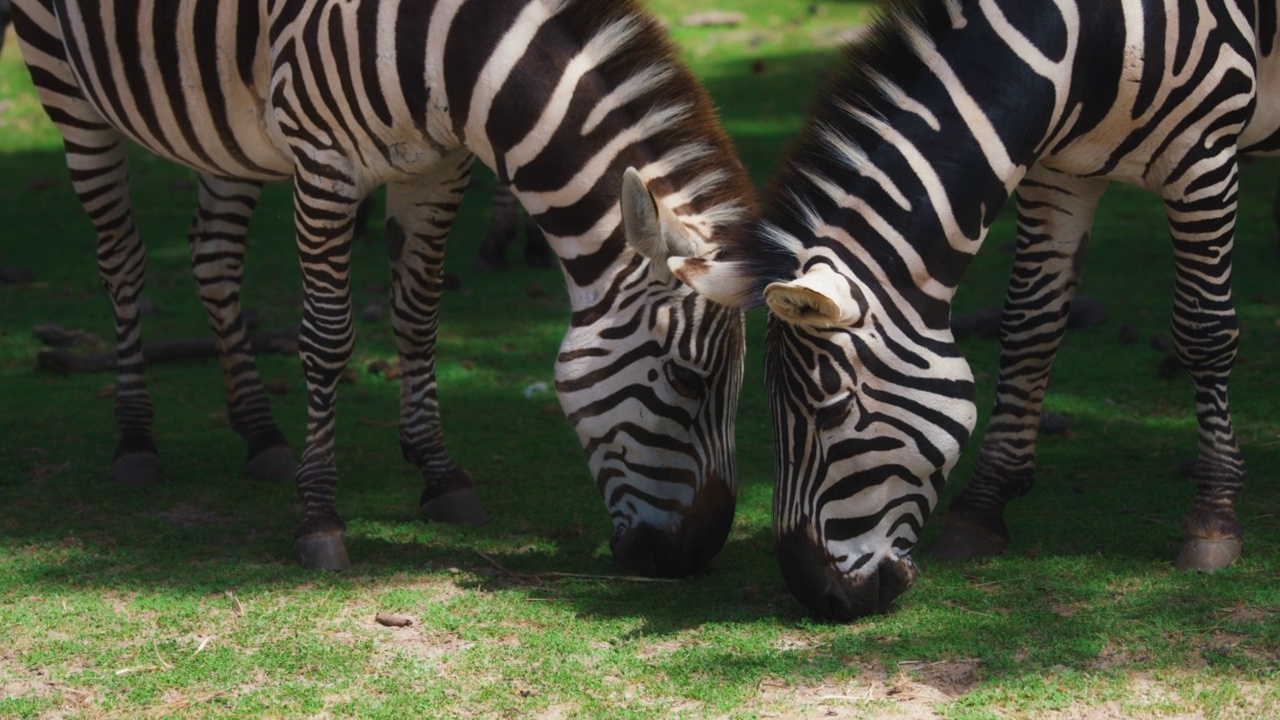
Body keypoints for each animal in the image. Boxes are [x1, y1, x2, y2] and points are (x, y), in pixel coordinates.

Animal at [15, 0, 752, 571]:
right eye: (686, 379)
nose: (699, 554)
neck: (448, 48)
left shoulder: (439, 167)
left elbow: (419, 317)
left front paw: (438, 472)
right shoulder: (324, 165)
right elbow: (327, 337)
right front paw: (320, 517)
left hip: (225, 127)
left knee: (215, 255)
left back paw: (260, 432)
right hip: (64, 81)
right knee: (121, 258)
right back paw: (135, 436)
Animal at [640, 0, 1280, 617]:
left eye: (832, 410)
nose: (817, 596)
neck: (1080, 38)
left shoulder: (1203, 153)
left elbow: (1203, 331)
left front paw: (1213, 516)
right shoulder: (1057, 171)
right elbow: (1029, 328)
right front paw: (983, 506)